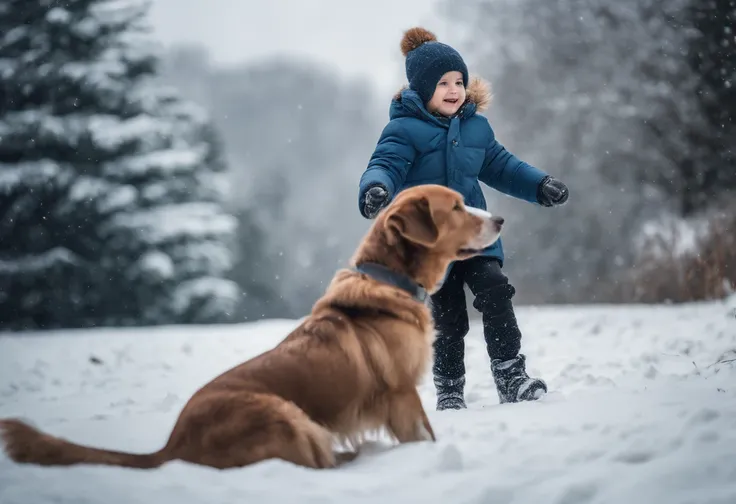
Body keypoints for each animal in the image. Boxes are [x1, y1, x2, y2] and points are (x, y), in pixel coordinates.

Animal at [0, 183, 504, 470]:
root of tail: (172, 446)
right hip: (284, 413)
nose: (500, 218)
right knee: (309, 464)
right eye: (457, 207)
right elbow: (425, 432)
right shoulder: (401, 394)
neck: (389, 279)